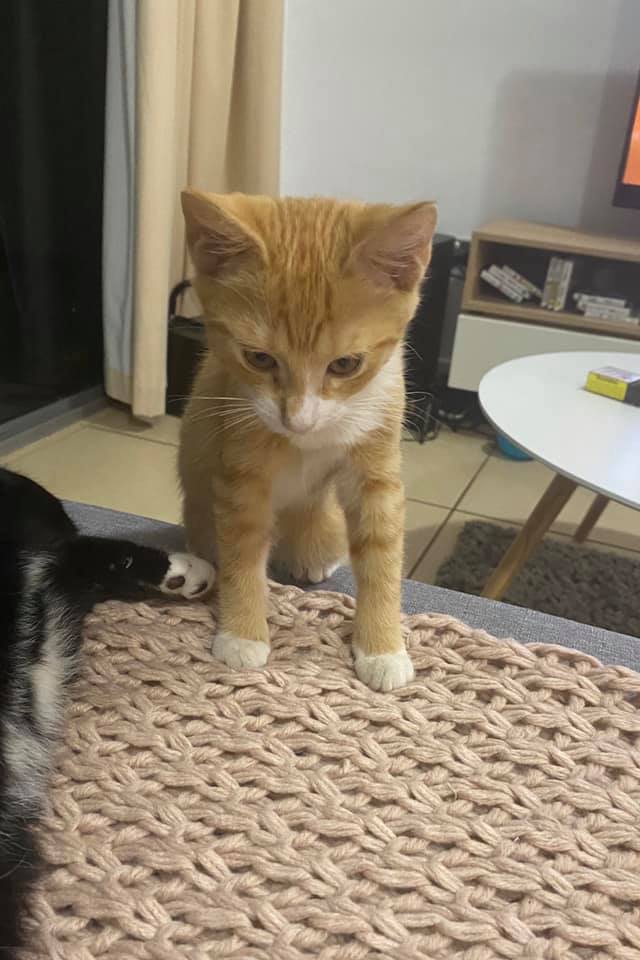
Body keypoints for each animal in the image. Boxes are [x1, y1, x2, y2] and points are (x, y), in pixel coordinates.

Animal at [179, 189, 437, 692]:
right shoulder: (240, 469)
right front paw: (243, 634)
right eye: (258, 358)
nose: (298, 420)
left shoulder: (377, 465)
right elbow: (242, 549)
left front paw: (383, 648)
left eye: (346, 364)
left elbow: (382, 553)